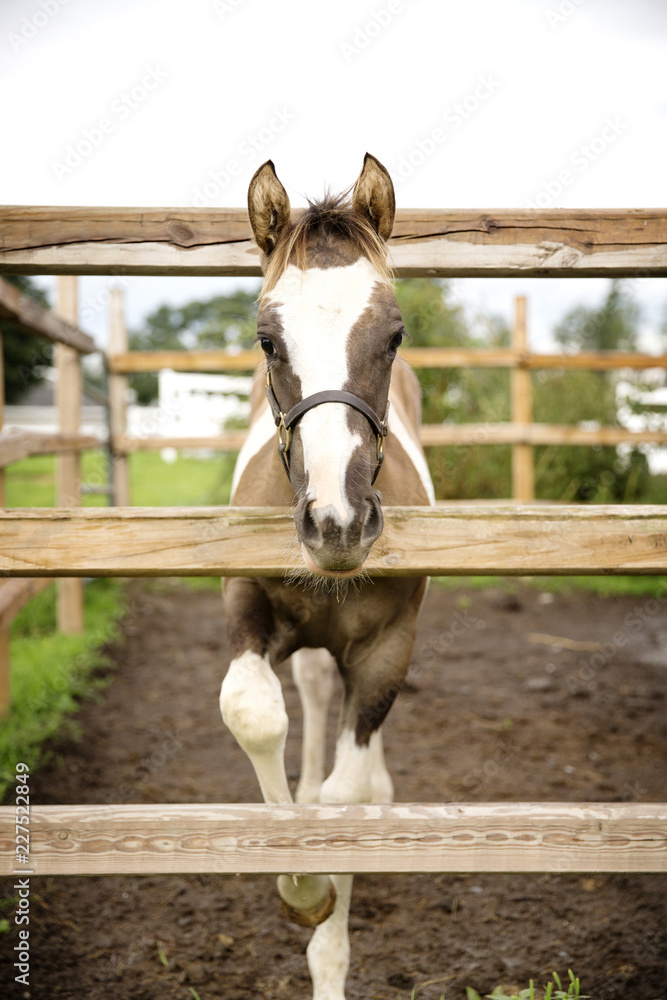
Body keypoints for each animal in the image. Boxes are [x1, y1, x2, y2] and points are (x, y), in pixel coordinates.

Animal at [222, 152, 436, 996]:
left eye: (395, 332)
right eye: (266, 338)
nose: (337, 522)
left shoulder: (387, 646)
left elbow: (348, 797)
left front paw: (319, 908)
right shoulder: (245, 603)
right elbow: (254, 713)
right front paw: (298, 884)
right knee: (310, 696)